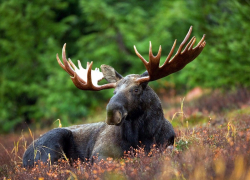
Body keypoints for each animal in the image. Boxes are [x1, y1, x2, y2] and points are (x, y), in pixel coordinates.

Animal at [22, 26, 206, 167]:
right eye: (113, 92)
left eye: (136, 90)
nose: (112, 112)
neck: (143, 136)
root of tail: (24, 158)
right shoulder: (99, 153)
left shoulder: (167, 143)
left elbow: (170, 150)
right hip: (51, 145)